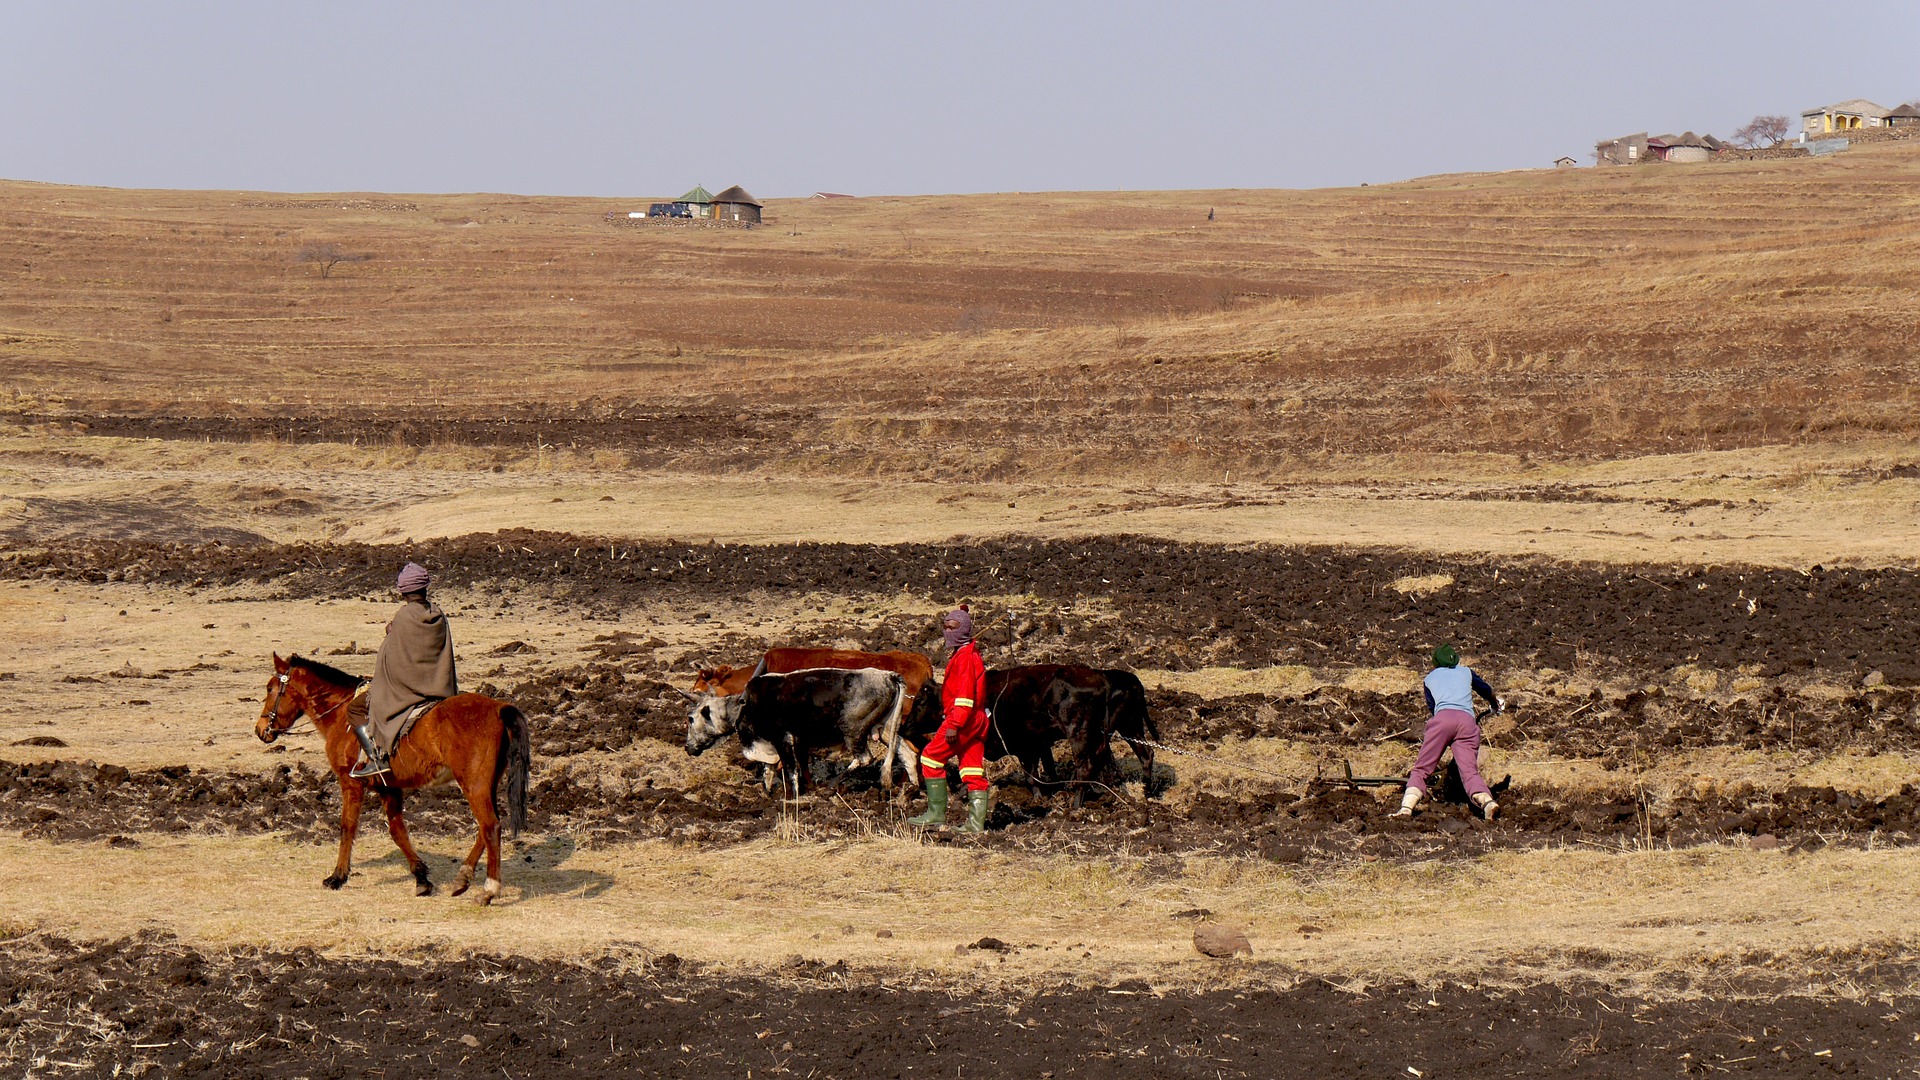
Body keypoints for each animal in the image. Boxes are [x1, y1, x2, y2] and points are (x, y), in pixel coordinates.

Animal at [253, 653, 533, 903]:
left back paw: (489, 890)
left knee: (490, 827)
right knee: (485, 829)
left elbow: (347, 827)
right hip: (486, 785)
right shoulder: (388, 788)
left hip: (474, 785)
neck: (340, 712)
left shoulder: (351, 782)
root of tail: (498, 708)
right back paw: (462, 878)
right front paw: (421, 877)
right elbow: (397, 830)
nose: (260, 729)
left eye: (270, 688)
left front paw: (338, 876)